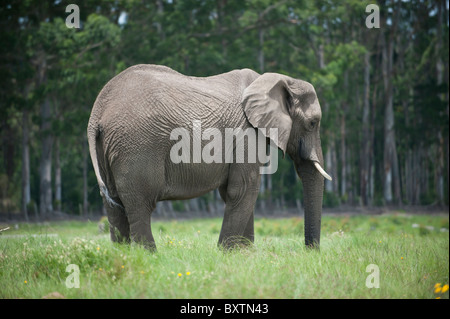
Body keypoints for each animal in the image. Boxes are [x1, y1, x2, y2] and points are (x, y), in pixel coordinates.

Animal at [88, 63, 332, 251]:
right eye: (313, 123)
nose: (309, 251)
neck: (279, 80)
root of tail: (97, 113)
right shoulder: (246, 132)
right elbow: (243, 189)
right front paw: (228, 253)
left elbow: (233, 191)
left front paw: (245, 253)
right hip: (137, 145)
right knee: (140, 204)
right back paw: (148, 255)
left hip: (110, 147)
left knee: (114, 204)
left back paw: (123, 255)